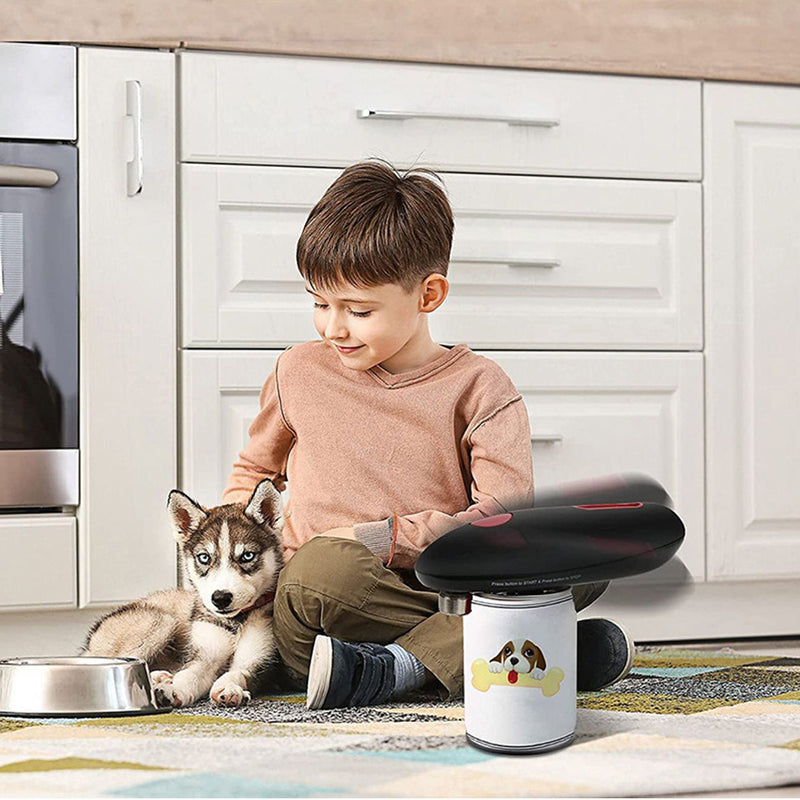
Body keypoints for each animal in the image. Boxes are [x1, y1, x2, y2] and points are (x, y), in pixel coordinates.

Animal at [82, 478, 284, 708]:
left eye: (247, 556)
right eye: (204, 558)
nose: (220, 598)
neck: (235, 623)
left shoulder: (259, 660)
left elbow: (239, 672)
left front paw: (229, 688)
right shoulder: (205, 655)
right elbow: (190, 674)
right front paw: (173, 689)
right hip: (159, 620)